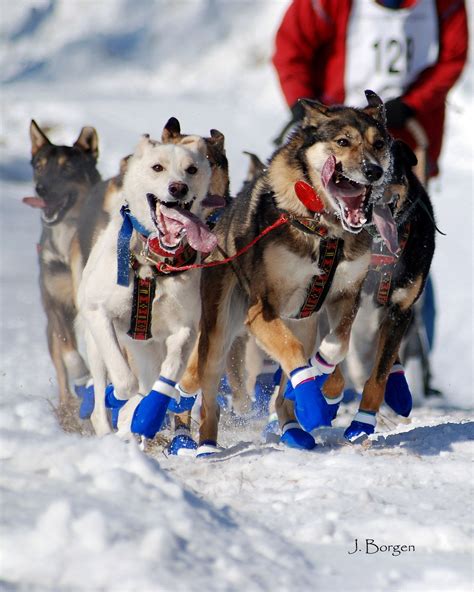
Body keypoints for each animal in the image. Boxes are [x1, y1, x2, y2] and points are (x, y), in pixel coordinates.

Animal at [24, 120, 100, 408]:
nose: (41, 188)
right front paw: (80, 372)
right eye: (39, 166)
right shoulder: (53, 301)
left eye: (67, 168)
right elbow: (67, 348)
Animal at [78, 135, 215, 440]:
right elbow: (124, 381)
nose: (178, 187)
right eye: (157, 167)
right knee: (100, 406)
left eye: (191, 169)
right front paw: (121, 398)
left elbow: (169, 372)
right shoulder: (98, 313)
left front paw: (150, 409)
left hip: (147, 349)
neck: (151, 264)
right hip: (95, 345)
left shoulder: (186, 327)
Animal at [178, 91, 392, 454]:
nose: (373, 171)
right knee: (207, 391)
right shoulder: (261, 311)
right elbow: (292, 353)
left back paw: (293, 427)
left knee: (285, 385)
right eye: (343, 141)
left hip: (303, 321)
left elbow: (336, 346)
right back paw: (206, 444)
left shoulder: (346, 296)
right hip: (221, 330)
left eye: (379, 144)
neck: (326, 230)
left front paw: (320, 375)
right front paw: (312, 397)